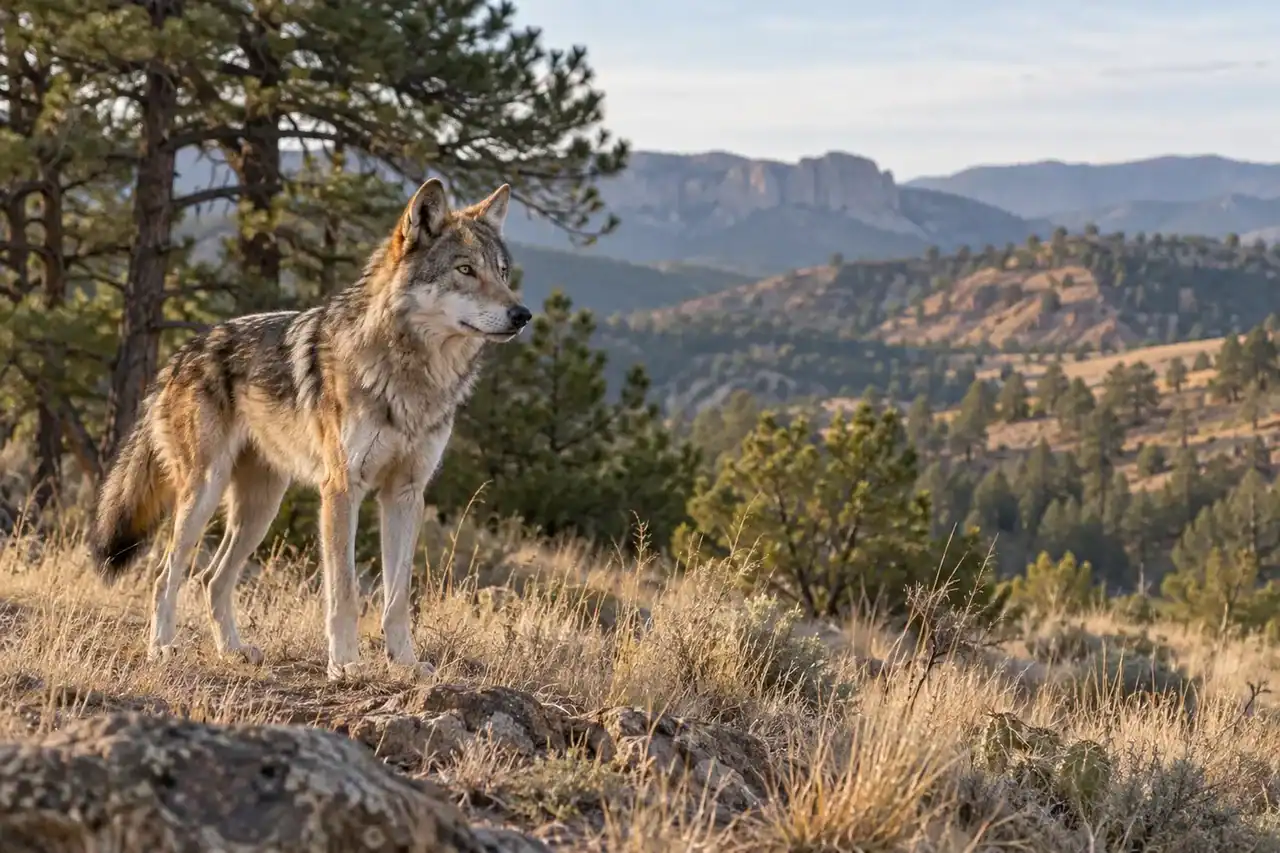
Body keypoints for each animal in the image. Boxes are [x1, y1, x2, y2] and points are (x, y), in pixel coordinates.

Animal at [88, 179, 530, 681]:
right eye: (465, 270)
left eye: (502, 272)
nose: (522, 314)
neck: (412, 377)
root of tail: (181, 354)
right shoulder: (341, 489)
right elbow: (345, 591)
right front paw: (345, 664)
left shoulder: (405, 494)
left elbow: (397, 598)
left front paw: (406, 664)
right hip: (204, 494)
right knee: (169, 573)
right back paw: (162, 648)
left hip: (261, 507)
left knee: (212, 578)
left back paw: (233, 650)